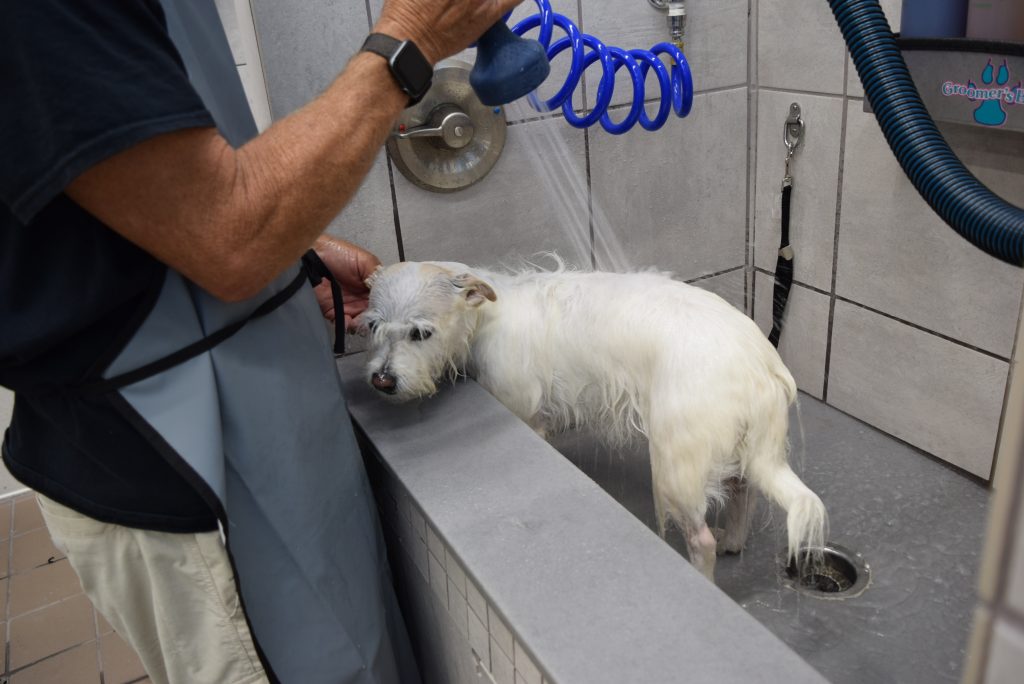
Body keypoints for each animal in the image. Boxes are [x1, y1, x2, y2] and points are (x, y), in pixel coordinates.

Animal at [364, 259, 827, 581]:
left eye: (420, 332)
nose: (382, 381)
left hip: (677, 466)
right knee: (743, 490)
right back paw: (734, 541)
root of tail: (759, 365)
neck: (487, 318)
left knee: (702, 538)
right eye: (373, 327)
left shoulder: (525, 417)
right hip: (735, 445)